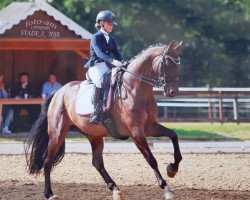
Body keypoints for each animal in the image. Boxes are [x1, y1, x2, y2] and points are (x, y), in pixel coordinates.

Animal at [24, 40, 182, 200]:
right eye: (167, 63)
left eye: (178, 65)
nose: (173, 92)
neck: (134, 88)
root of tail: (58, 92)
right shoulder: (136, 132)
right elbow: (151, 159)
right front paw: (166, 188)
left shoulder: (150, 127)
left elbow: (173, 135)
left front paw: (172, 169)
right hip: (58, 133)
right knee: (47, 160)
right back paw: (49, 193)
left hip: (94, 135)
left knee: (97, 163)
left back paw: (116, 190)